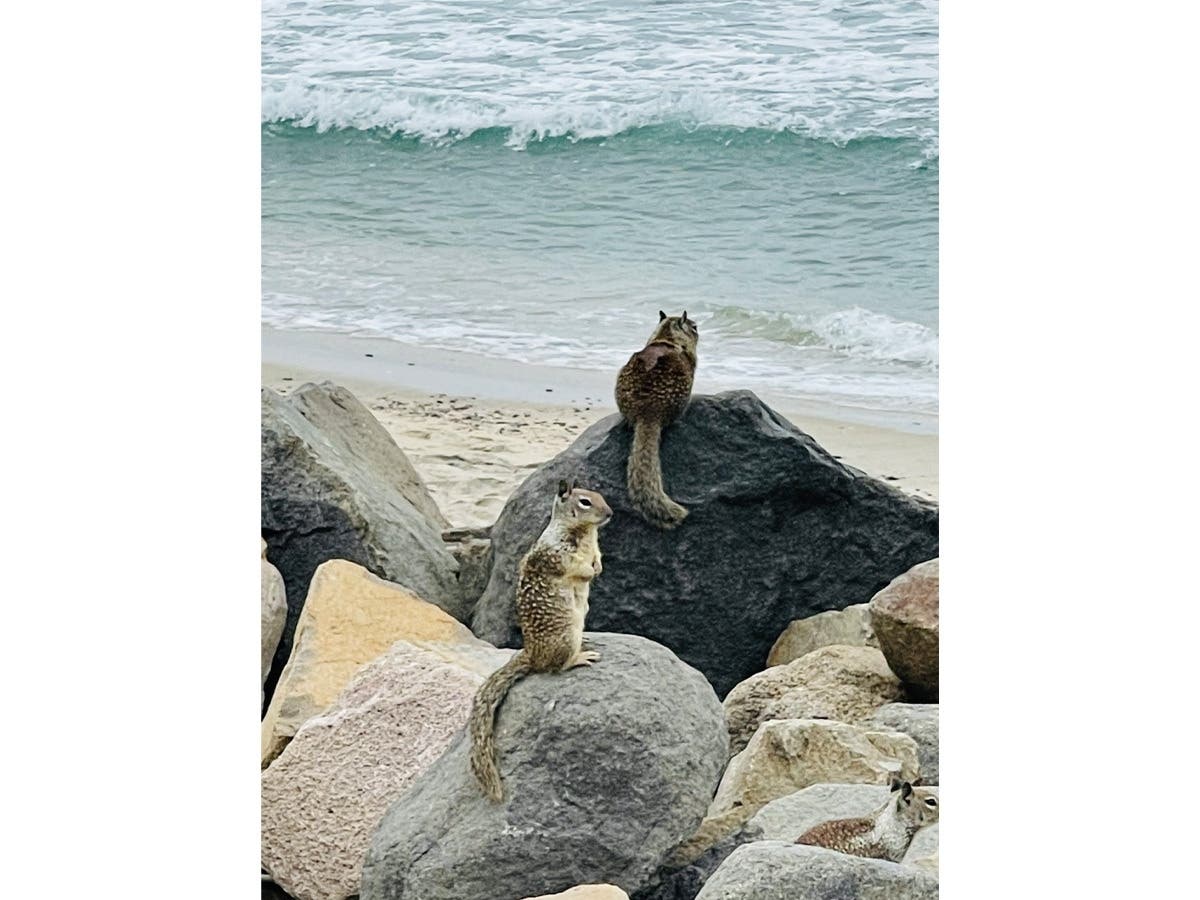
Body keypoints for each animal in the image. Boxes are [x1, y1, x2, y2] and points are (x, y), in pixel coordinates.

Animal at [468, 479, 613, 802]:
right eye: (585, 502)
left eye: (599, 495)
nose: (610, 513)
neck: (585, 533)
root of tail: (531, 654)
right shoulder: (558, 554)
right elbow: (575, 567)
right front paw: (590, 570)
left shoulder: (594, 546)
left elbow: (597, 557)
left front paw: (598, 566)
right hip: (565, 636)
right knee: (556, 667)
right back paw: (580, 657)